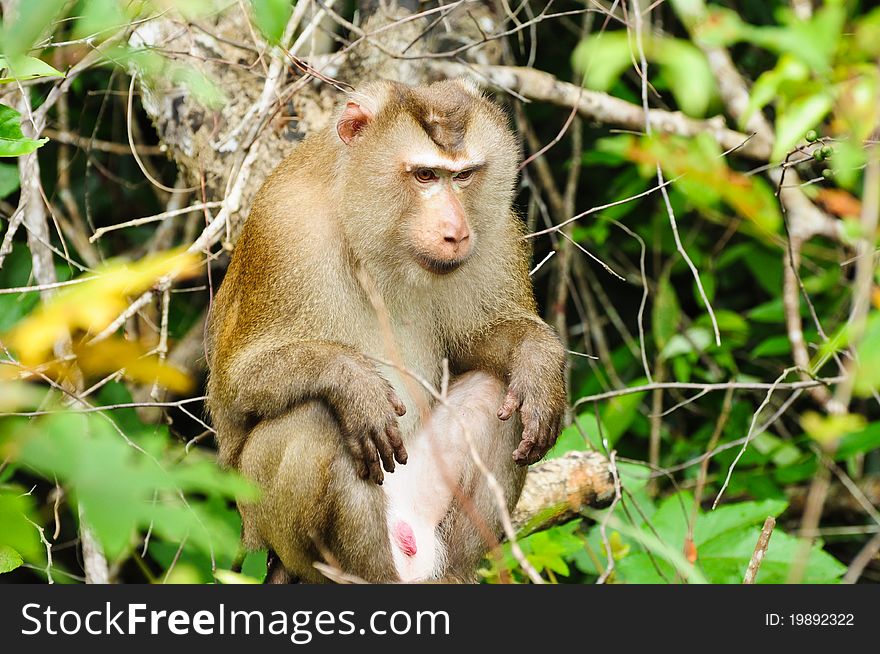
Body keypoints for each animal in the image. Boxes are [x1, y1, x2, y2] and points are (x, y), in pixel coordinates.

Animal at [204, 77, 568, 584]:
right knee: (317, 418)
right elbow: (234, 387)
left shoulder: (495, 231)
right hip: (263, 522)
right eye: (425, 176)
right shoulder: (283, 229)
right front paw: (352, 382)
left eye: (463, 176)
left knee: (497, 391)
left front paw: (538, 360)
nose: (456, 231)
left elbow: (477, 344)